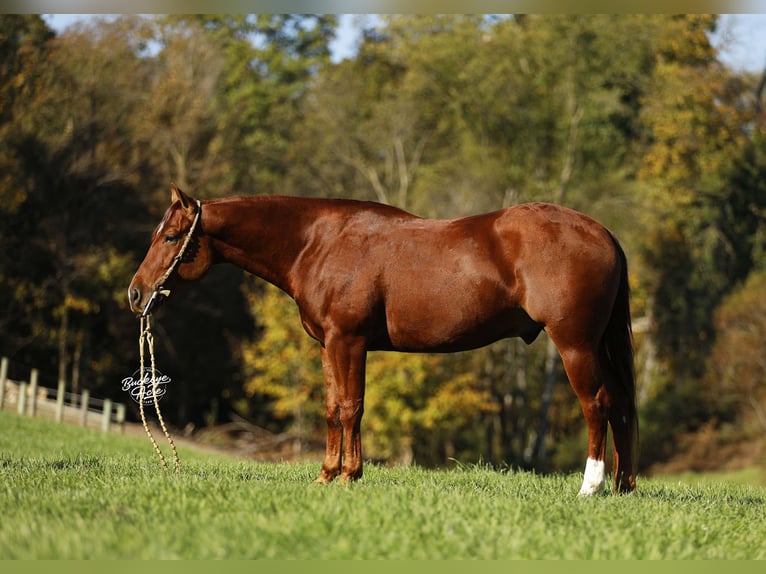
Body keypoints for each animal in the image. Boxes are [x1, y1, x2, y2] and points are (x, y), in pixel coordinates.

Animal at [128, 185, 638, 494]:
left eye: (171, 237)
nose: (135, 294)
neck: (317, 242)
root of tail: (605, 233)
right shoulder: (328, 346)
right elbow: (332, 408)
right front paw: (327, 475)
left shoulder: (348, 341)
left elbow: (350, 408)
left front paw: (349, 476)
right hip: (598, 345)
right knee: (622, 405)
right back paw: (623, 487)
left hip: (575, 344)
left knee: (596, 404)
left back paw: (590, 486)